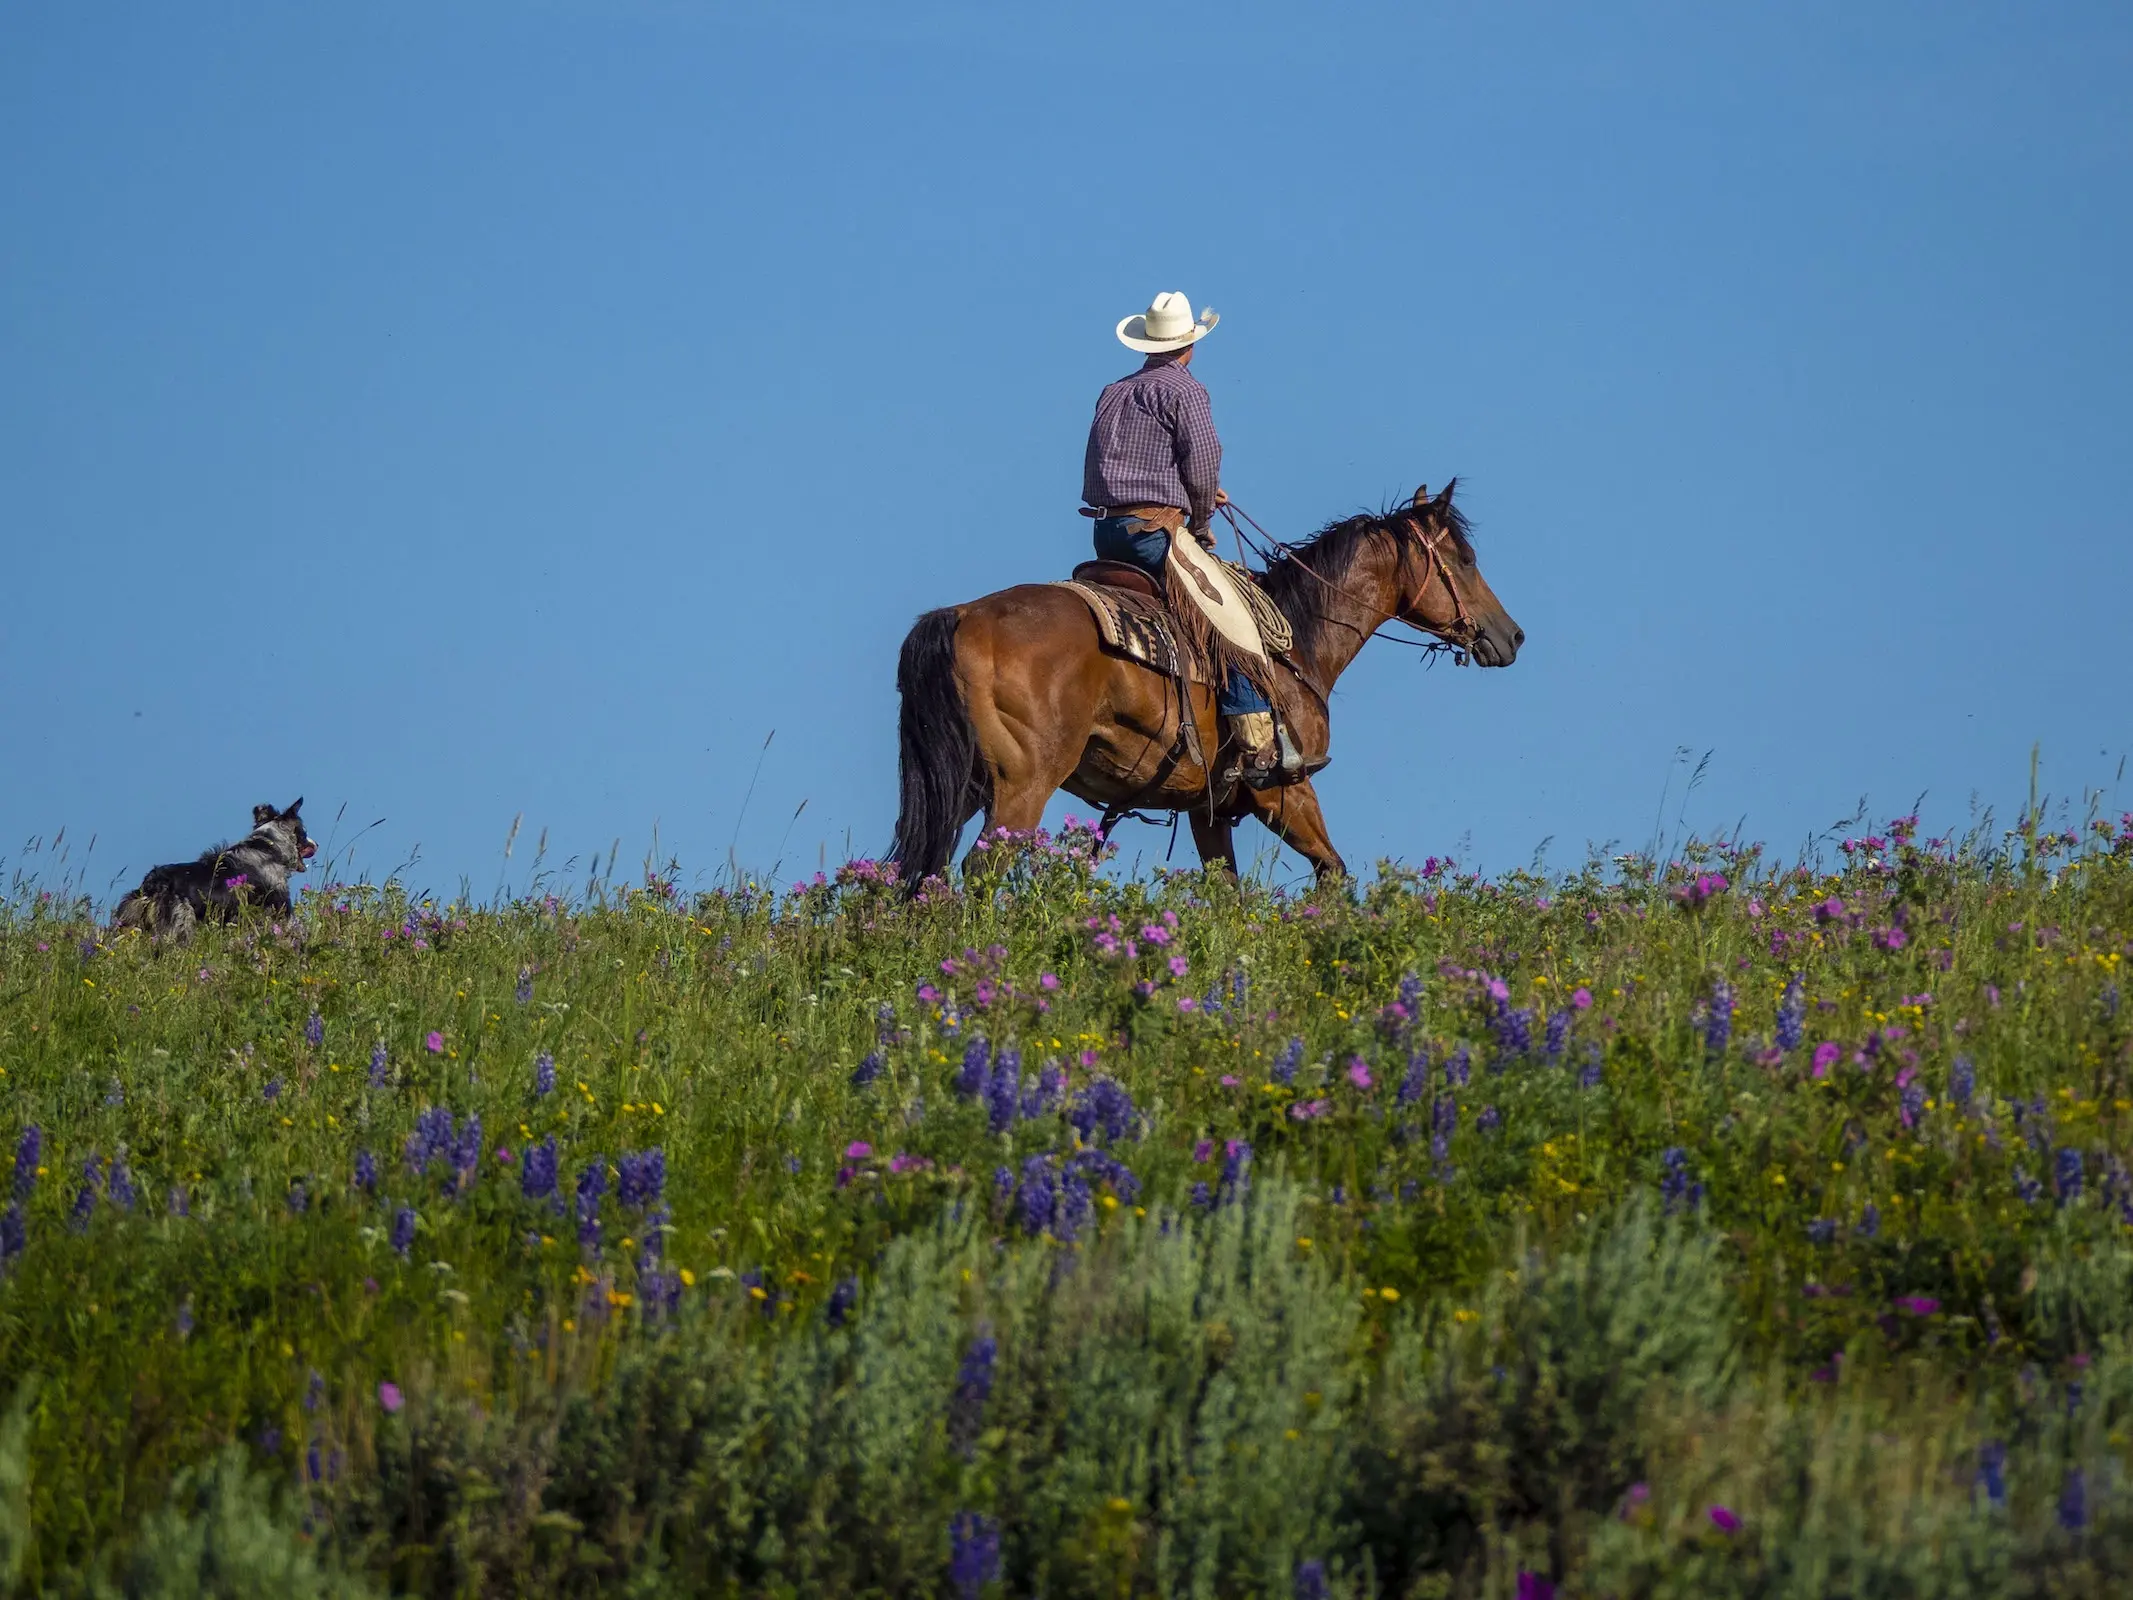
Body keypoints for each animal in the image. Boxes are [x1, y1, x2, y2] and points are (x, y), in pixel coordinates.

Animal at [114, 797, 315, 938]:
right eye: (304, 833)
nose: (316, 844)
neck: (270, 846)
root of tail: (152, 883)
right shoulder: (280, 908)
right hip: (179, 925)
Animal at [883, 486, 1518, 891]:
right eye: (1464, 558)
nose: (1511, 636)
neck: (1297, 643)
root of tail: (961, 616)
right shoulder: (1283, 791)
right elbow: (1332, 871)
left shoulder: (1208, 810)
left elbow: (1225, 896)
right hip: (1023, 786)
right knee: (979, 869)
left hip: (965, 784)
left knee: (922, 866)